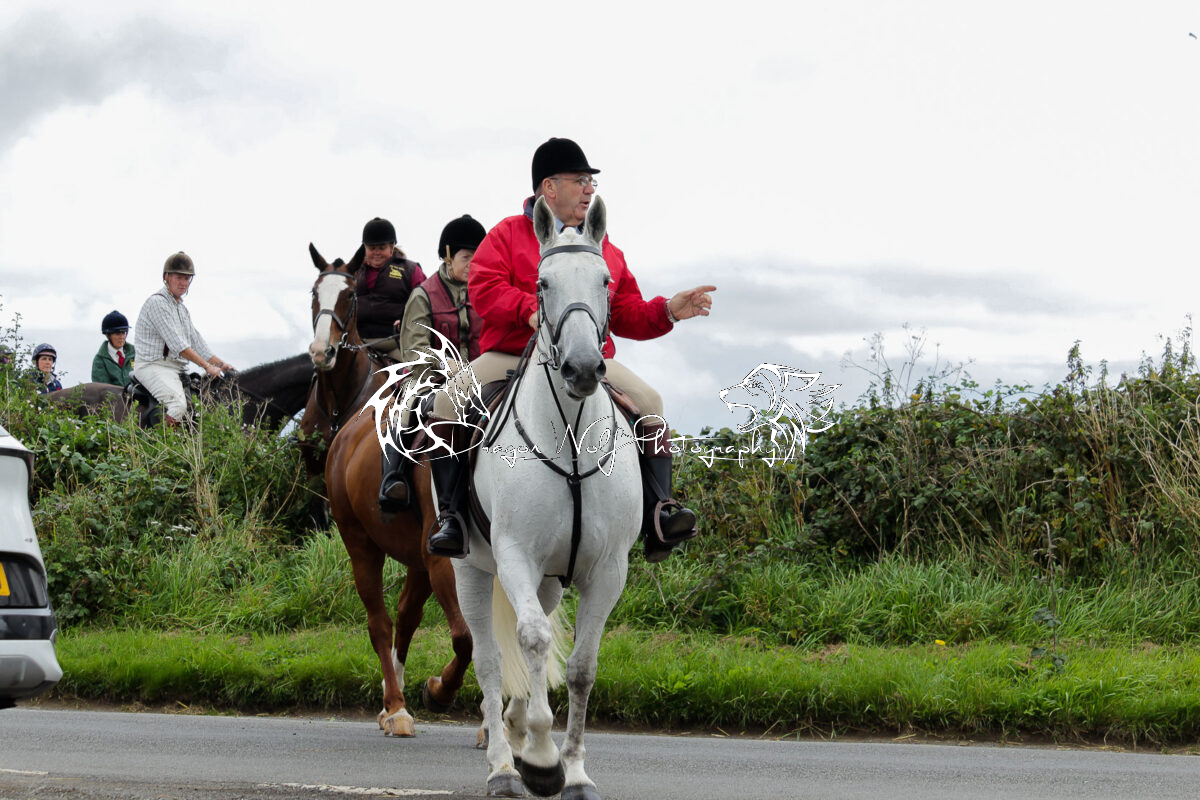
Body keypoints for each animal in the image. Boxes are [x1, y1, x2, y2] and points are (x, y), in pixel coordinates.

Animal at [304, 243, 473, 737]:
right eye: (313, 294)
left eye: (350, 295)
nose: (322, 352)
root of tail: (345, 432)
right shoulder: (439, 556)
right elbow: (460, 636)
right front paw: (428, 693)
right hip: (359, 542)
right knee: (379, 622)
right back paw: (396, 705)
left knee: (401, 618)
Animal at [453, 196, 642, 799]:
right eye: (541, 283)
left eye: (606, 281)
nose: (582, 368)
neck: (573, 445)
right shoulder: (515, 555)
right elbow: (533, 643)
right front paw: (538, 756)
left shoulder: (607, 570)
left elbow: (581, 667)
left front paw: (575, 771)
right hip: (472, 569)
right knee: (490, 659)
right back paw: (503, 764)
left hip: (551, 580)